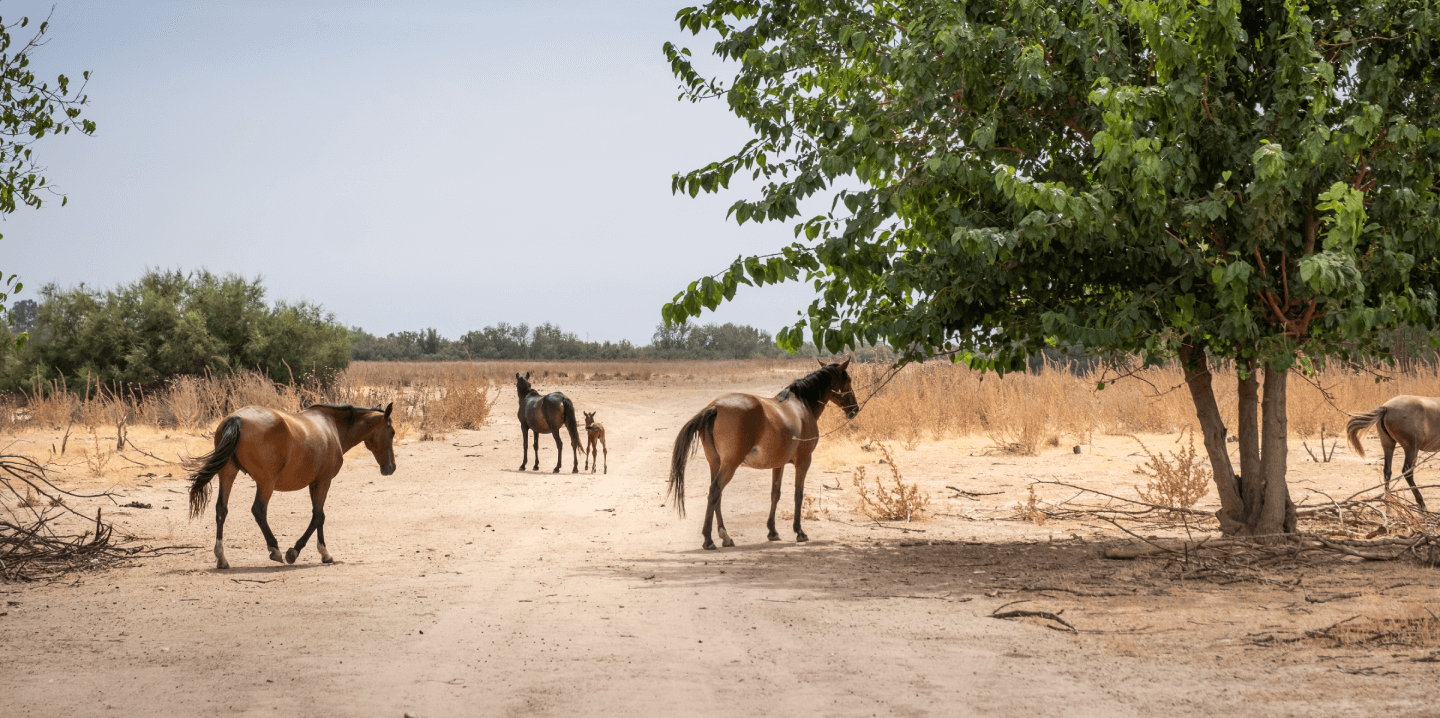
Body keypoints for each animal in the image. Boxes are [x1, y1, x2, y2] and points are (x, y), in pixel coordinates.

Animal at [190, 405, 400, 566]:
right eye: (392, 432)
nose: (391, 468)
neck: (332, 428)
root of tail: (236, 418)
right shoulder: (324, 481)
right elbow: (318, 516)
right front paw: (298, 552)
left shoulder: (314, 483)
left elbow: (319, 516)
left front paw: (324, 554)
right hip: (266, 483)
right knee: (259, 510)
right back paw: (275, 549)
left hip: (227, 474)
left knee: (221, 510)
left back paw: (221, 558)